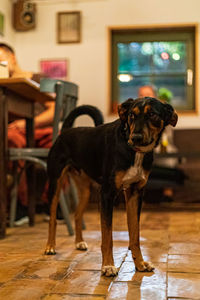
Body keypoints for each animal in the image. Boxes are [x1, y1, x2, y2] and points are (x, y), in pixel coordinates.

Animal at [44, 96, 177, 276]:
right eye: (132, 115)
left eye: (153, 115)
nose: (136, 137)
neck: (133, 150)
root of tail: (65, 131)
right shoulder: (107, 194)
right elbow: (108, 236)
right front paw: (107, 265)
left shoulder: (135, 193)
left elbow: (135, 235)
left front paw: (140, 263)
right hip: (55, 183)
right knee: (53, 217)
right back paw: (50, 246)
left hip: (85, 189)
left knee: (77, 214)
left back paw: (79, 242)